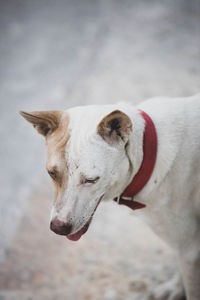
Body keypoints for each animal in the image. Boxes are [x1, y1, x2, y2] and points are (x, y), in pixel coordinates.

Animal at [20, 94, 200, 300]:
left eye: (91, 179)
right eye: (51, 173)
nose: (58, 228)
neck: (148, 153)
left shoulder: (189, 248)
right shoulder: (185, 246)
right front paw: (175, 287)